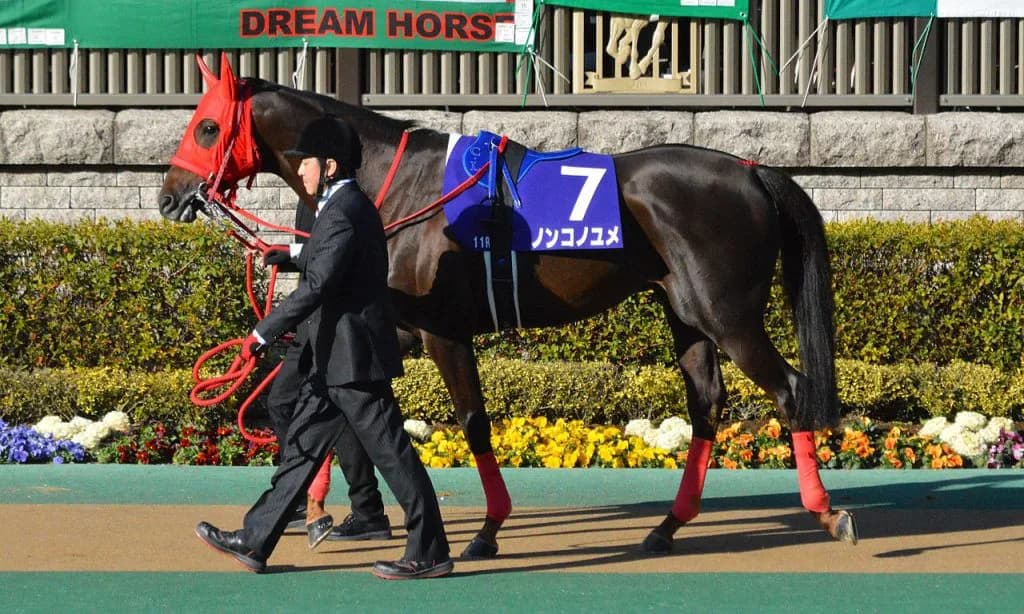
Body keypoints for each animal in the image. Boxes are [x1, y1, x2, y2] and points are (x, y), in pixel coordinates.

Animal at [158, 53, 858, 558]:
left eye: (207, 126)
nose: (170, 195)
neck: (401, 186)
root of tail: (751, 169)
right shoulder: (399, 327)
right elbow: (336, 408)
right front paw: (322, 513)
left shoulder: (444, 332)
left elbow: (471, 423)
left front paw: (486, 529)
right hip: (685, 315)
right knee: (707, 404)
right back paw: (667, 526)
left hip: (728, 315)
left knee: (790, 390)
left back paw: (825, 512)